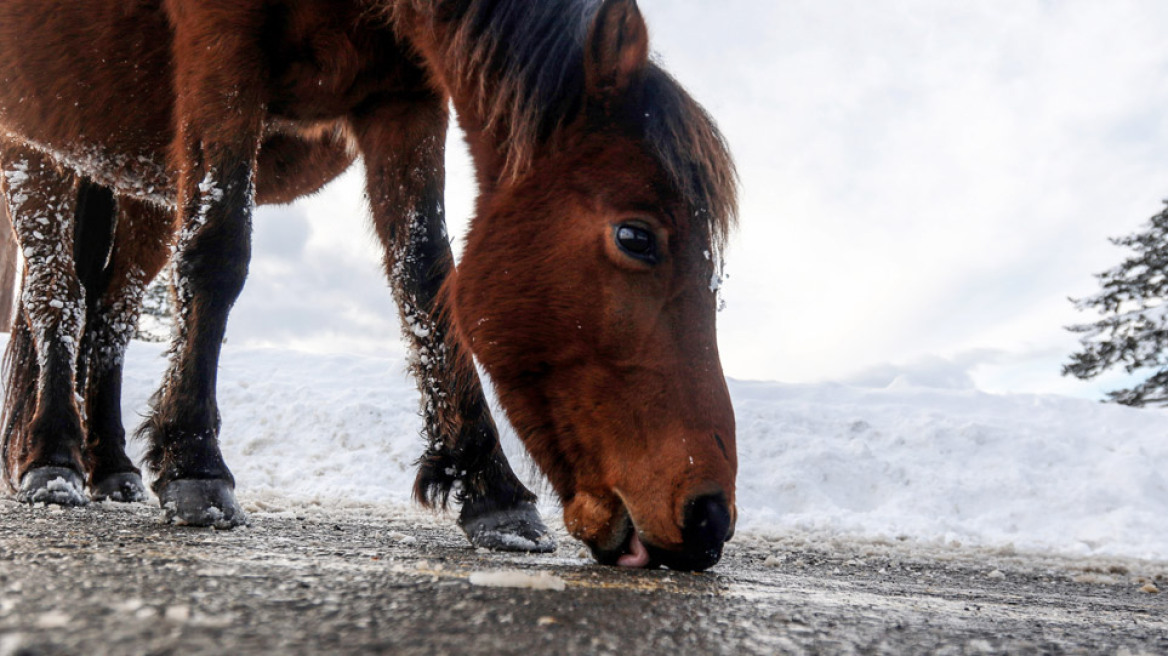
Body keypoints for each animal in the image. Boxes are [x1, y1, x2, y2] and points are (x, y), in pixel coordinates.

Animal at [0, 0, 738, 567]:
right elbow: (218, 249)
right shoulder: (222, 48)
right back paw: (53, 459)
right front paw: (194, 466)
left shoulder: (403, 95)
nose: (709, 519)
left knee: (108, 316)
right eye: (636, 236)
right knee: (55, 302)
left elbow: (426, 279)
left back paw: (107, 466)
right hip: (38, 158)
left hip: (136, 186)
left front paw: (490, 491)